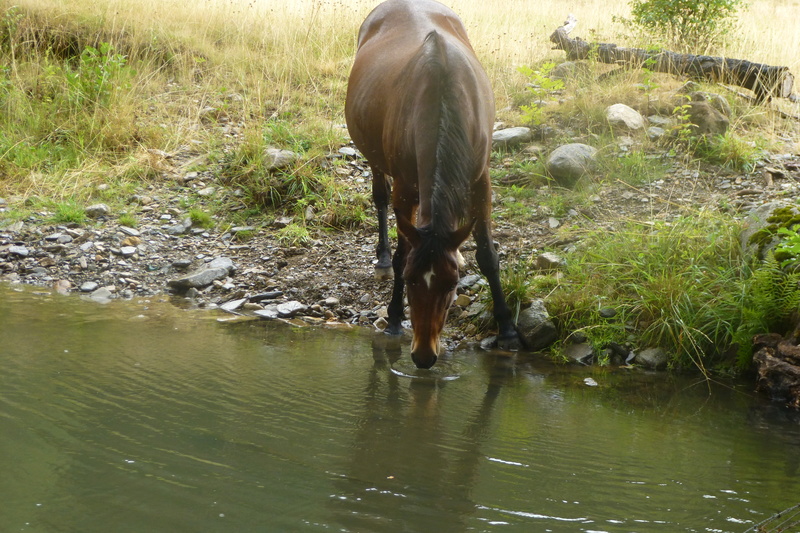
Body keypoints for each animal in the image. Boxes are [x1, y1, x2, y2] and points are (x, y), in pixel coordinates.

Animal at [342, 0, 520, 368]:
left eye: (452, 285)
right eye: (411, 281)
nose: (424, 357)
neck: (442, 97)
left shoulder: (481, 180)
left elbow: (487, 254)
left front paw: (508, 329)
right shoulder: (406, 188)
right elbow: (403, 252)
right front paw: (395, 318)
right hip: (375, 157)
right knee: (379, 196)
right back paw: (381, 258)